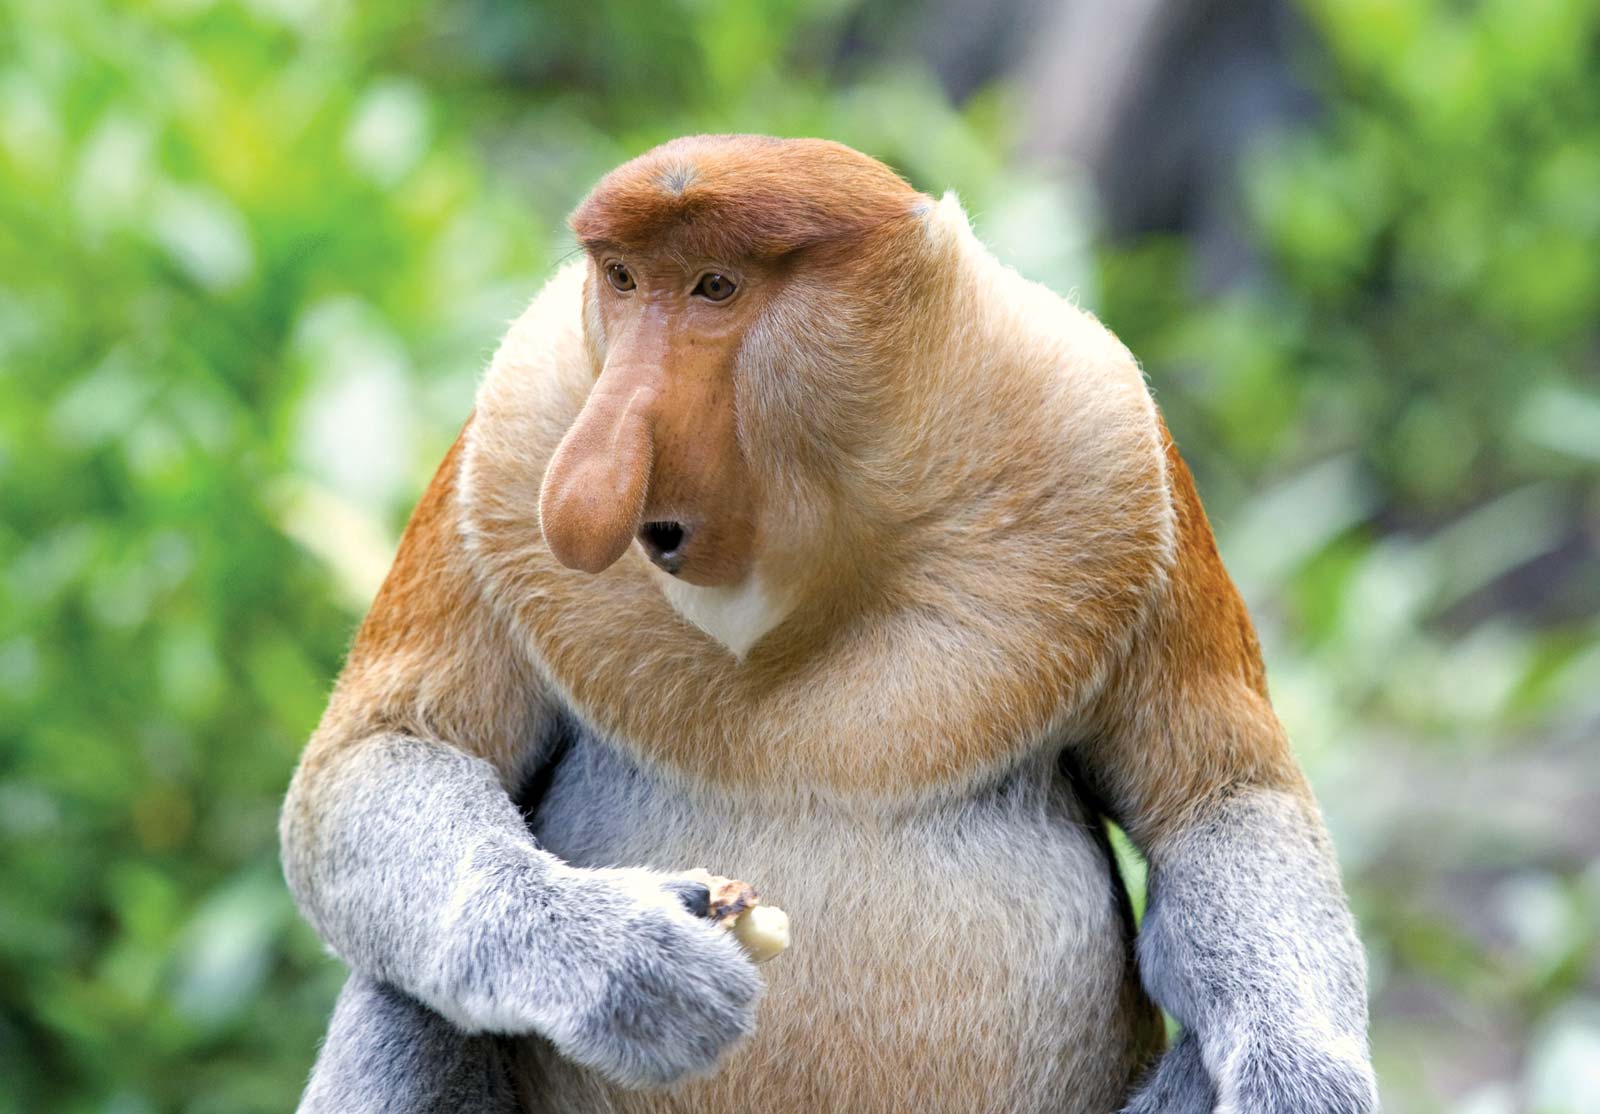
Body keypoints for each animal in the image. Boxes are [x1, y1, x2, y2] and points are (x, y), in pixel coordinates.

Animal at [281, 134, 1377, 1114]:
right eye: (624, 280)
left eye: (715, 288)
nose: (584, 486)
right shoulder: (514, 432)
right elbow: (381, 756)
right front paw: (628, 962)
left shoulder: (1109, 439)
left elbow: (1220, 800)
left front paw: (1301, 1084)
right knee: (407, 992)